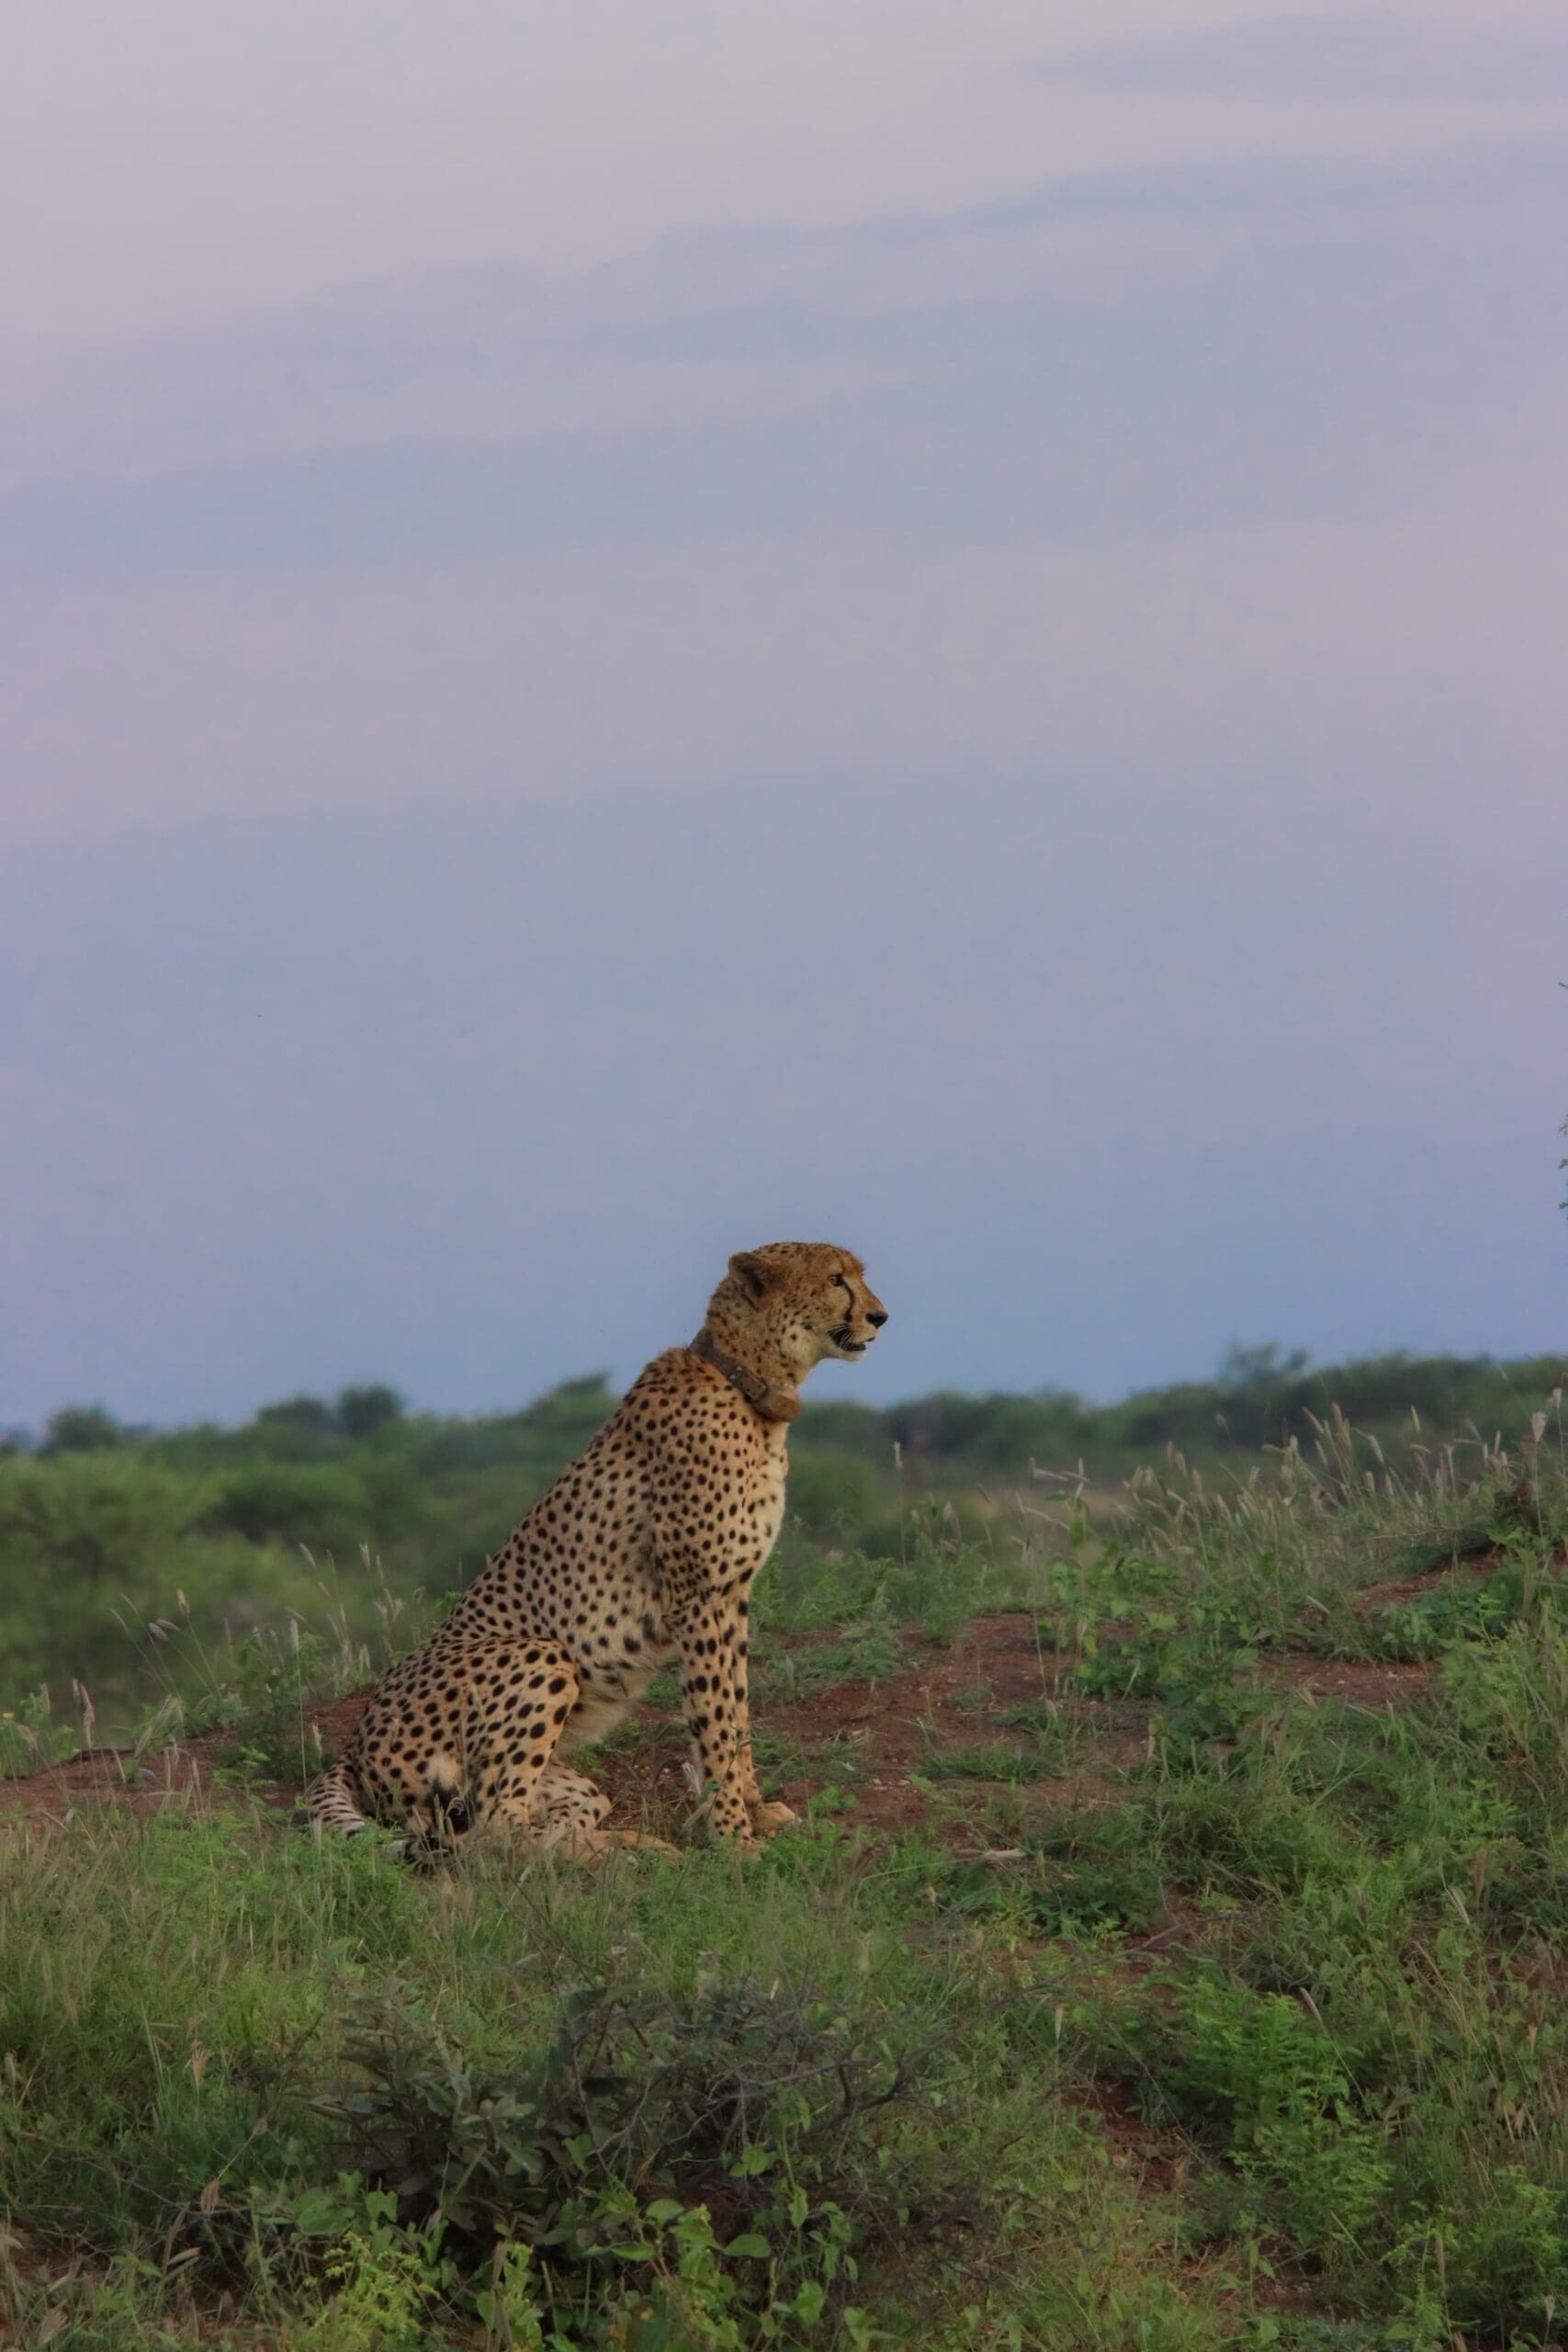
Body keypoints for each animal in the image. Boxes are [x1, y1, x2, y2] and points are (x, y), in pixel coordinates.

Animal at [306, 1242, 887, 1858]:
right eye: (836, 1279)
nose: (880, 1316)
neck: (747, 1383)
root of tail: (353, 1743)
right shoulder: (698, 1598)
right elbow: (713, 1718)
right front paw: (733, 1838)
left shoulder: (732, 1595)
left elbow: (736, 1708)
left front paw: (753, 1808)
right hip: (540, 1656)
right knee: (495, 1833)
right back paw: (635, 1856)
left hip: (564, 1782)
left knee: (541, 1824)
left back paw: (635, 1846)